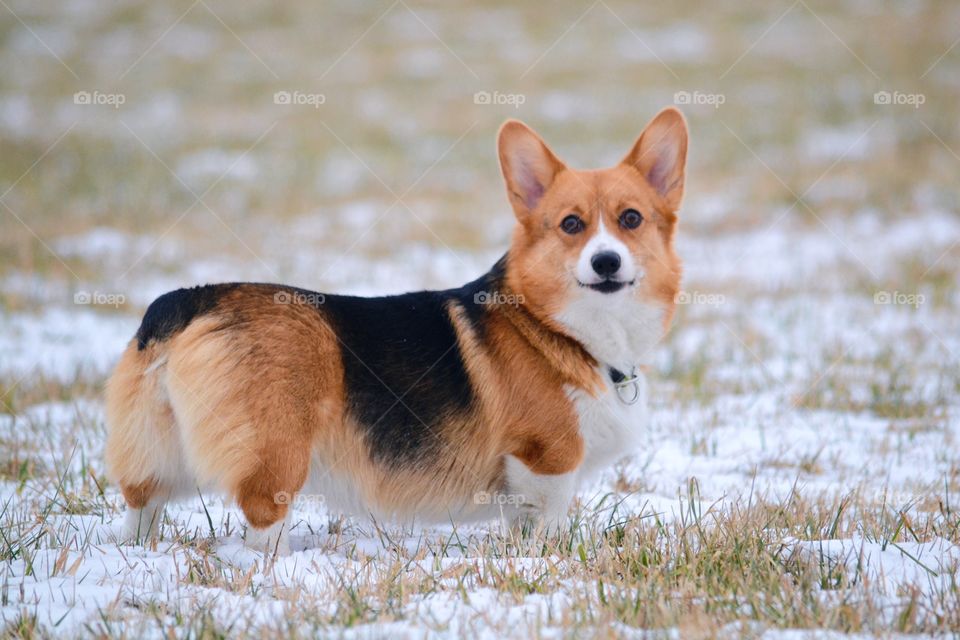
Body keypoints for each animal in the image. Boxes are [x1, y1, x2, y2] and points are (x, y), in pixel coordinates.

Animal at [105, 107, 688, 552]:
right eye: (571, 224)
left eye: (631, 218)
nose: (607, 262)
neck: (563, 332)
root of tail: (189, 300)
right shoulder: (546, 463)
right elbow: (547, 523)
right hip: (276, 458)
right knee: (260, 522)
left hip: (160, 452)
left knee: (140, 504)